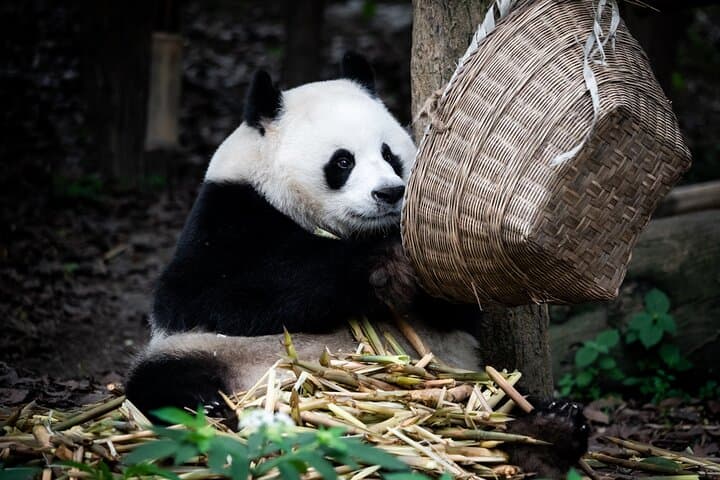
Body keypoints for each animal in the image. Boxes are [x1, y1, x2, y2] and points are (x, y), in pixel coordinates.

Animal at [126, 53, 588, 477]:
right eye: (343, 161)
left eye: (389, 154)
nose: (389, 193)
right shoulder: (225, 212)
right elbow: (204, 293)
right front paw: (385, 267)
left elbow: (457, 309)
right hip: (210, 353)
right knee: (162, 384)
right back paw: (209, 412)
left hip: (465, 377)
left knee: (502, 400)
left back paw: (549, 430)